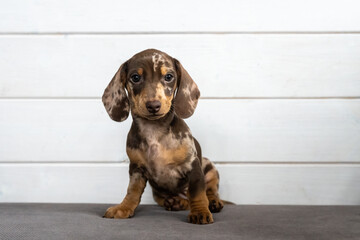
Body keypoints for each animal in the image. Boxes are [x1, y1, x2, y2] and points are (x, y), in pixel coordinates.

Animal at [101, 49, 224, 224]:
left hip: (209, 166)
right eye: (135, 77)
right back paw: (177, 202)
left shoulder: (193, 167)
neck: (154, 131)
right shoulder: (136, 169)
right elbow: (132, 192)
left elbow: (197, 192)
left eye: (169, 77)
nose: (153, 105)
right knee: (171, 199)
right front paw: (123, 208)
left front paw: (200, 211)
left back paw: (213, 202)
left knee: (210, 191)